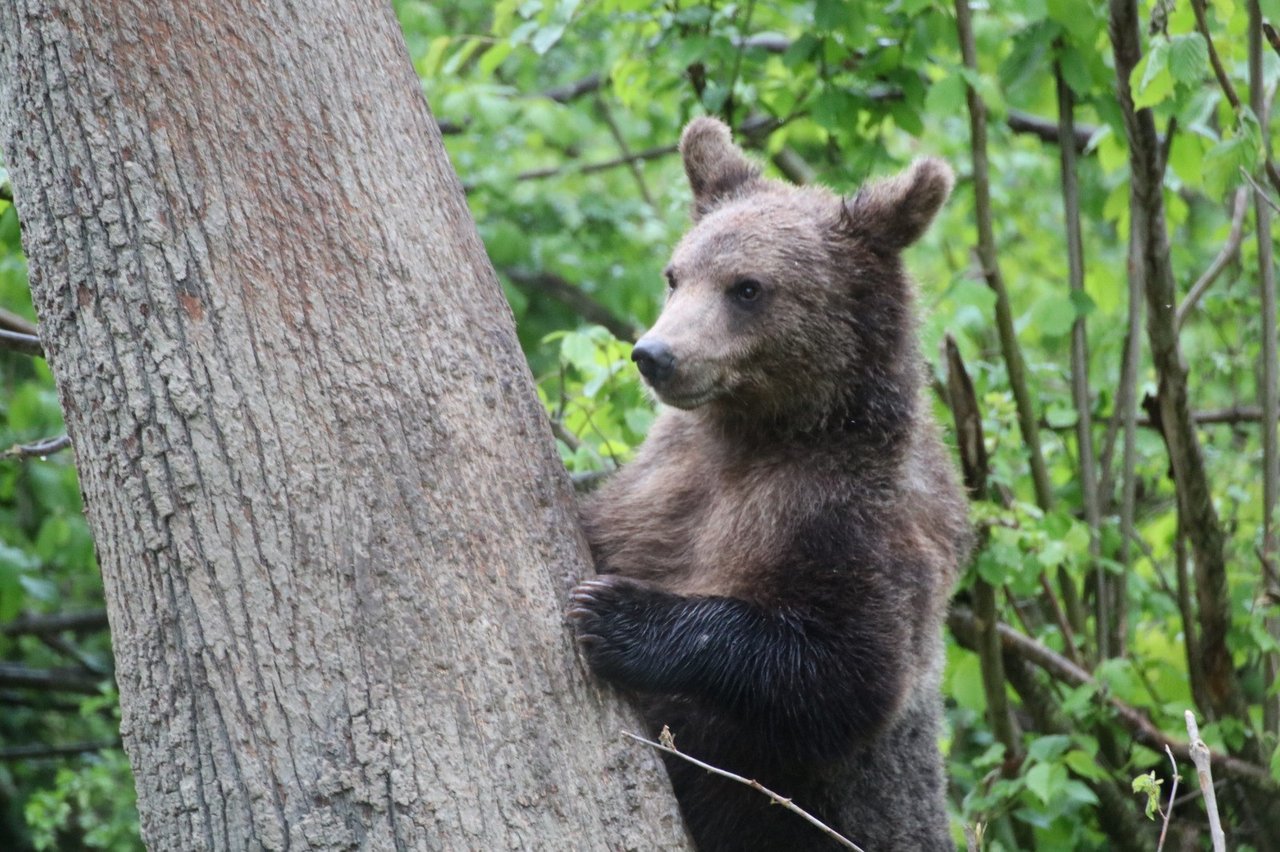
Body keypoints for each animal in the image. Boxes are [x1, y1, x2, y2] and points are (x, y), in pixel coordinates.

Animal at [570, 114, 967, 849]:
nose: (655, 354)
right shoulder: (664, 487)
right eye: (676, 274)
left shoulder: (851, 518)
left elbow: (846, 671)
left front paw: (614, 614)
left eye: (747, 287)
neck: (762, 432)